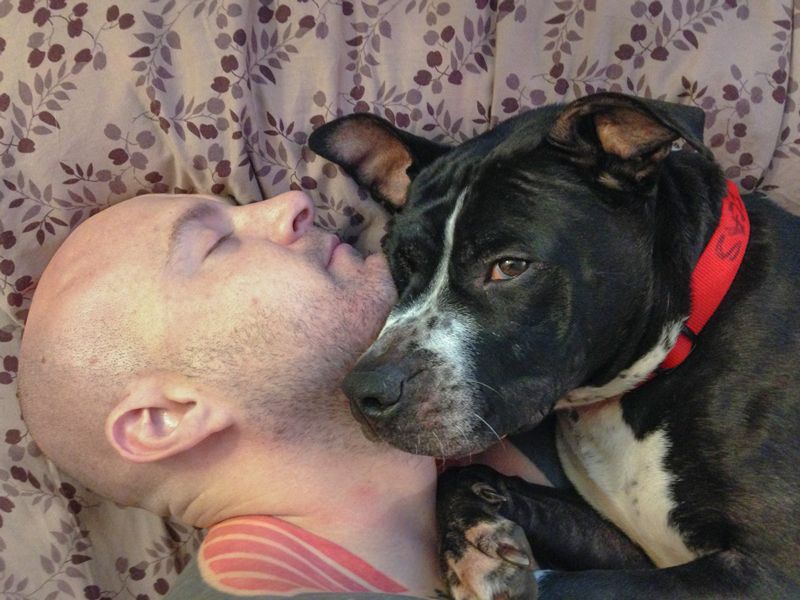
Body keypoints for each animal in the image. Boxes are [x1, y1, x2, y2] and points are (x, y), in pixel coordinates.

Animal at [308, 94, 800, 600]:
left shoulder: (767, 571)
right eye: (399, 261)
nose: (364, 393)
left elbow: (577, 587)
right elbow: (463, 475)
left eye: (510, 266)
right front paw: (476, 542)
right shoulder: (627, 545)